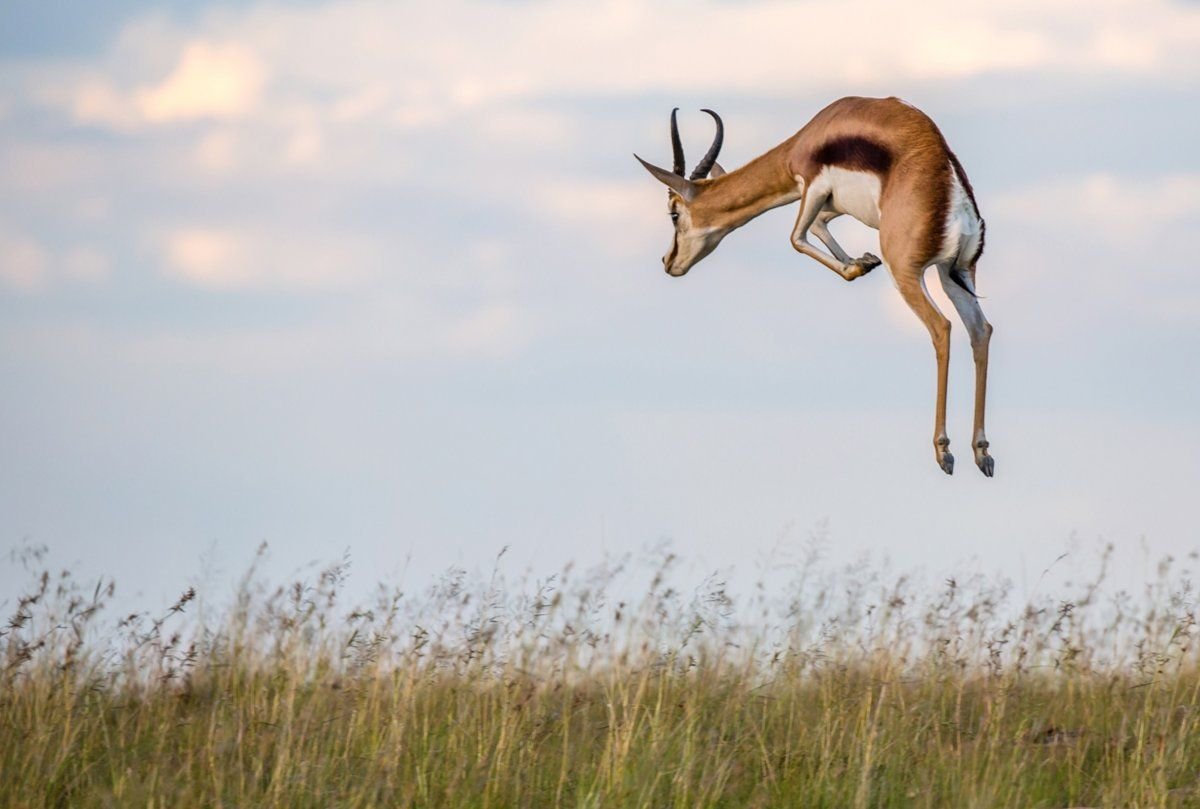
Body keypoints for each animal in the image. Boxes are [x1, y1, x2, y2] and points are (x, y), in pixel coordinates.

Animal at [638, 95, 993, 475]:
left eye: (674, 212)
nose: (669, 262)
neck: (810, 137)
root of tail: (954, 189)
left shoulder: (811, 186)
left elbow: (796, 238)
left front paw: (857, 265)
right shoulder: (831, 205)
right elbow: (820, 226)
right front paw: (862, 261)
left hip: (906, 272)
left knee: (942, 327)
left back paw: (944, 451)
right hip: (955, 274)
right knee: (980, 331)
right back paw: (982, 453)